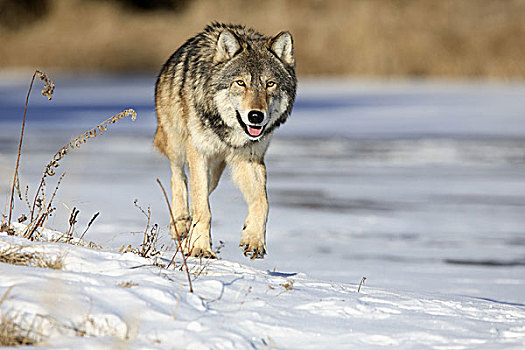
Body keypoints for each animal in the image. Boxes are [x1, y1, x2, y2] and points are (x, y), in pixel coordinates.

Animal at [154, 21, 296, 258]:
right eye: (240, 83)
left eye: (270, 84)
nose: (255, 116)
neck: (230, 133)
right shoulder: (199, 153)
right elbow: (203, 209)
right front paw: (201, 248)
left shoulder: (249, 160)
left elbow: (262, 202)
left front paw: (253, 239)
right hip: (177, 146)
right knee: (178, 178)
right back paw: (181, 225)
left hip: (215, 173)